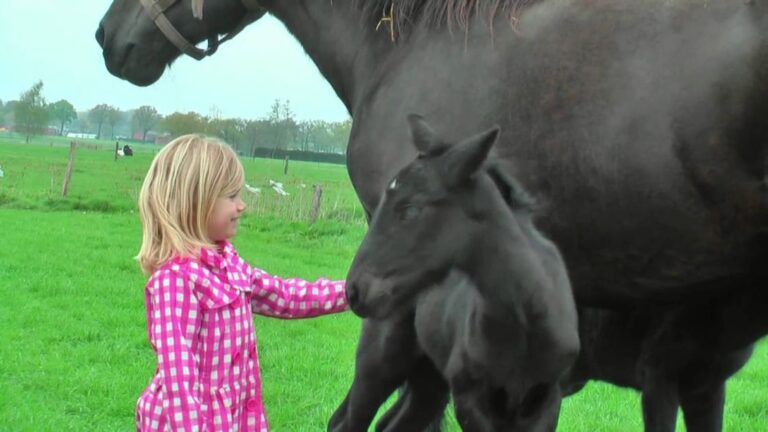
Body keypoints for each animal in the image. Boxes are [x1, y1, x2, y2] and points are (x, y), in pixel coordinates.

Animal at [330, 115, 576, 432]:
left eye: (411, 209)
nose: (355, 290)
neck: (525, 318)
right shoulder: (469, 398)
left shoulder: (547, 400)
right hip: (379, 364)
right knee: (347, 422)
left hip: (429, 380)